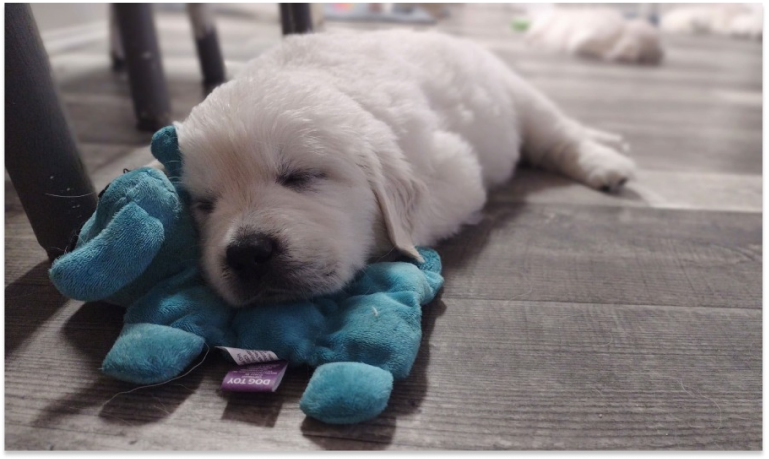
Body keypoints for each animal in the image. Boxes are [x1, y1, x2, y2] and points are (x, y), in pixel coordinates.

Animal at [176, 30, 636, 308]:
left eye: (301, 176)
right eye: (204, 204)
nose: (247, 253)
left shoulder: (456, 168)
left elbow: (414, 224)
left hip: (519, 95)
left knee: (558, 133)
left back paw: (606, 162)